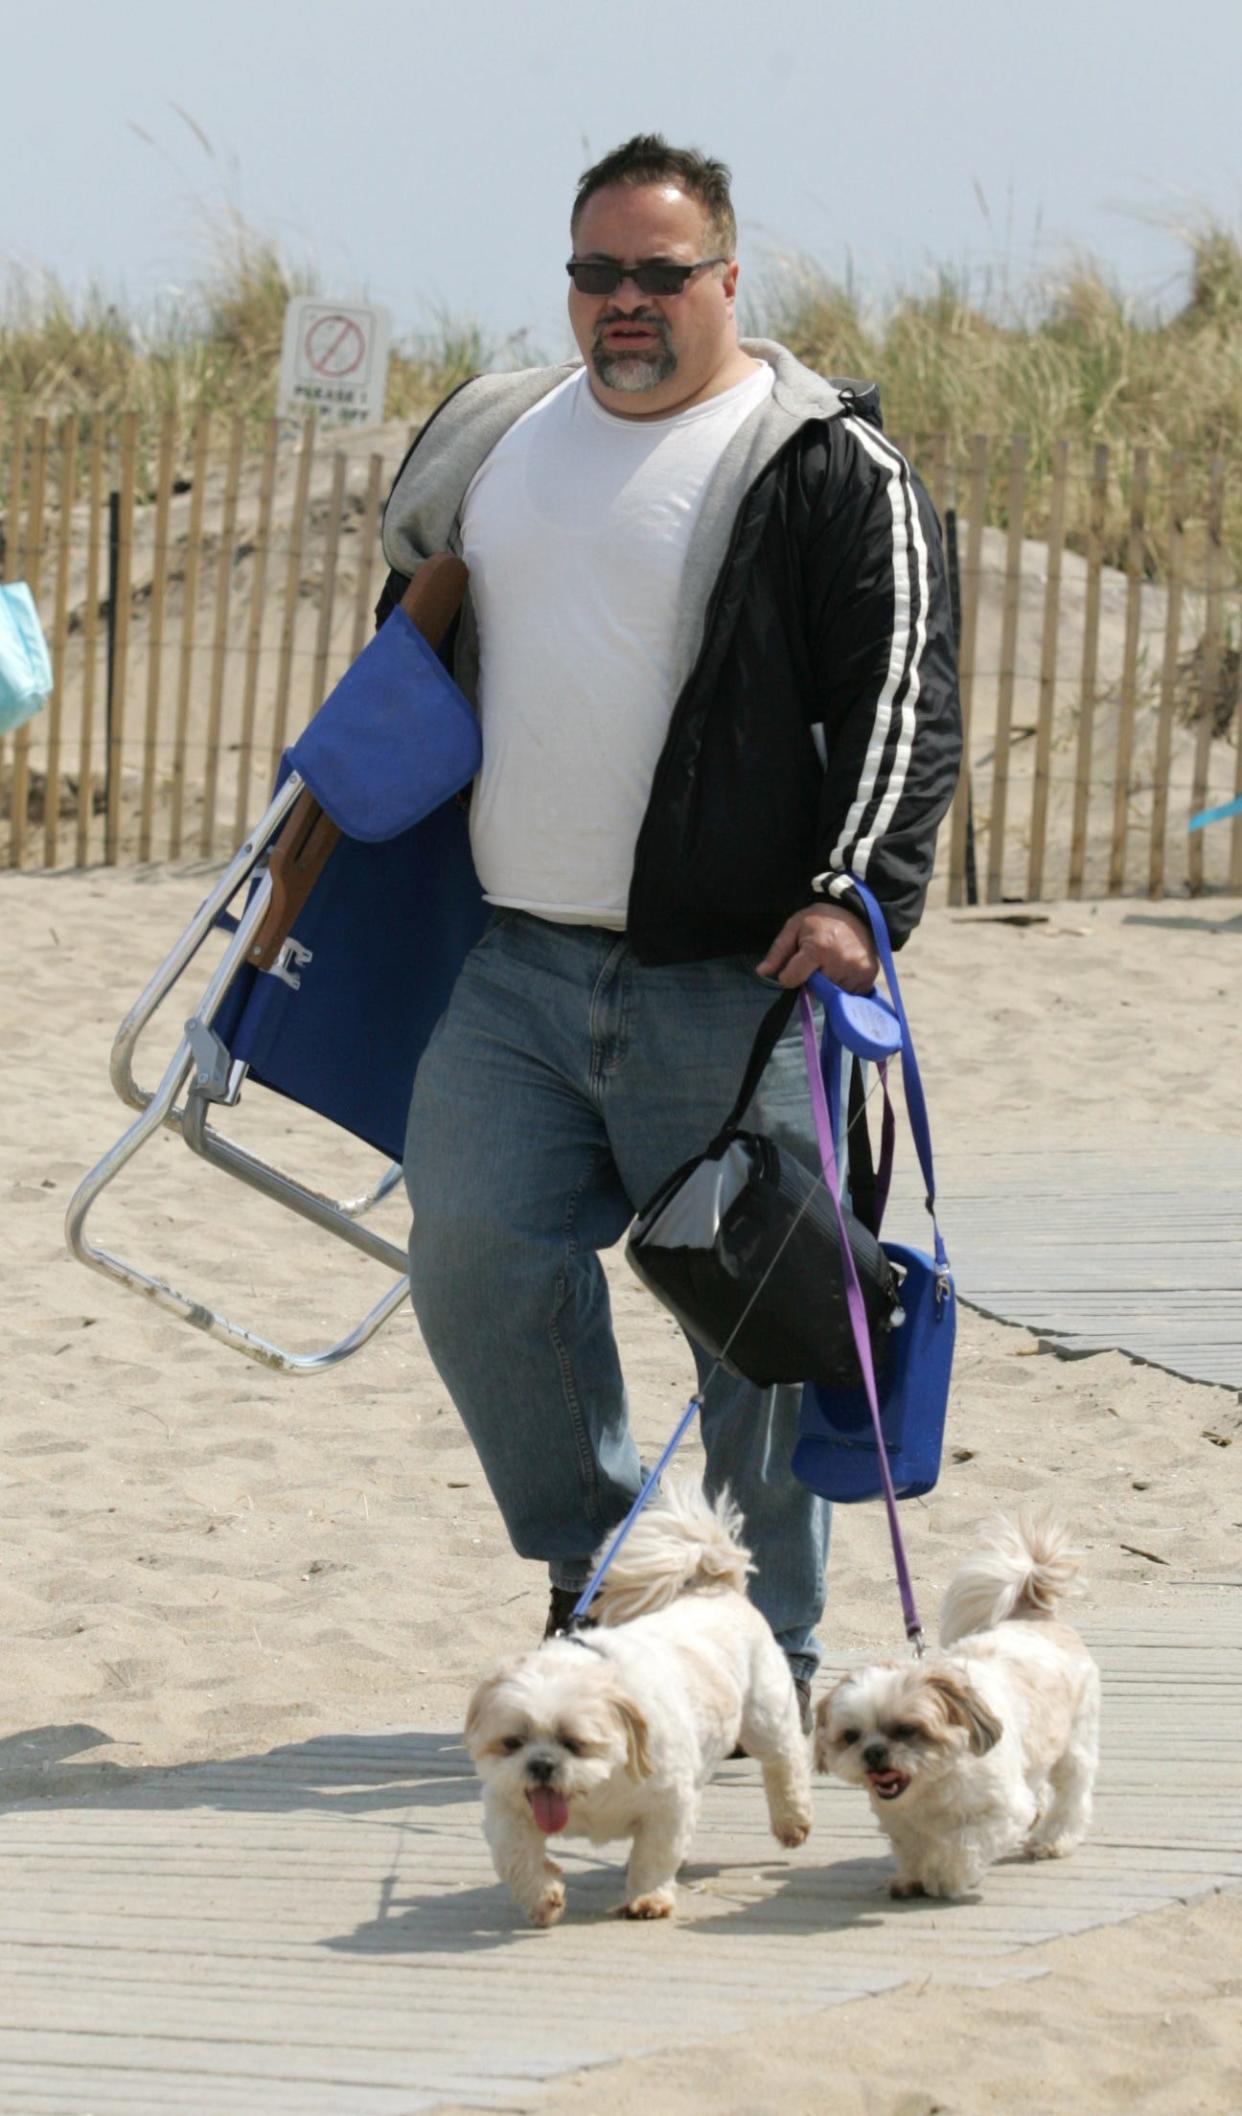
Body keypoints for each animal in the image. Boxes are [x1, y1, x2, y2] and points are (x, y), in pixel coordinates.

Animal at [465, 1481, 816, 1929]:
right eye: (512, 1743)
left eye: (575, 1743)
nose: (541, 1765)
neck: (594, 1789)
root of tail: (715, 1588)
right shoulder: (508, 1805)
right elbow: (514, 1855)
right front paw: (543, 1897)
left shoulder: (666, 1805)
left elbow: (653, 1857)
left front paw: (648, 1898)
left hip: (763, 1717)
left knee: (783, 1761)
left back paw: (792, 1820)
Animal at [816, 1515, 1100, 1912]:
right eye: (851, 1736)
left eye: (906, 1730)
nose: (874, 1752)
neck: (931, 1784)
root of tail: (1033, 1616)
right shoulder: (903, 1822)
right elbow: (914, 1847)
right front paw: (912, 1877)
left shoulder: (1000, 1812)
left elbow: (963, 1848)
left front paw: (944, 1878)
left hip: (1075, 1741)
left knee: (1072, 1794)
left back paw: (1053, 1839)